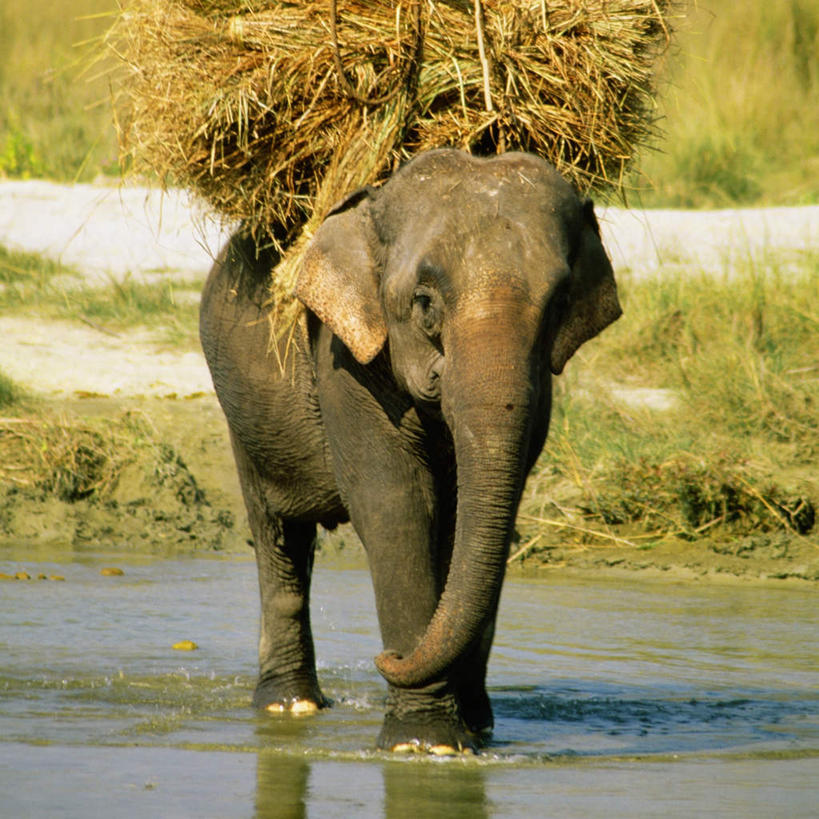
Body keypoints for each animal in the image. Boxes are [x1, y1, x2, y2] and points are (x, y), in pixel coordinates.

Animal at [200, 149, 620, 756]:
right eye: (424, 304)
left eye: (559, 305)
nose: (387, 658)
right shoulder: (344, 361)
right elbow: (397, 508)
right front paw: (423, 745)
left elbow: (476, 521)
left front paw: (473, 734)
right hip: (242, 410)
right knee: (277, 535)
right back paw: (291, 707)